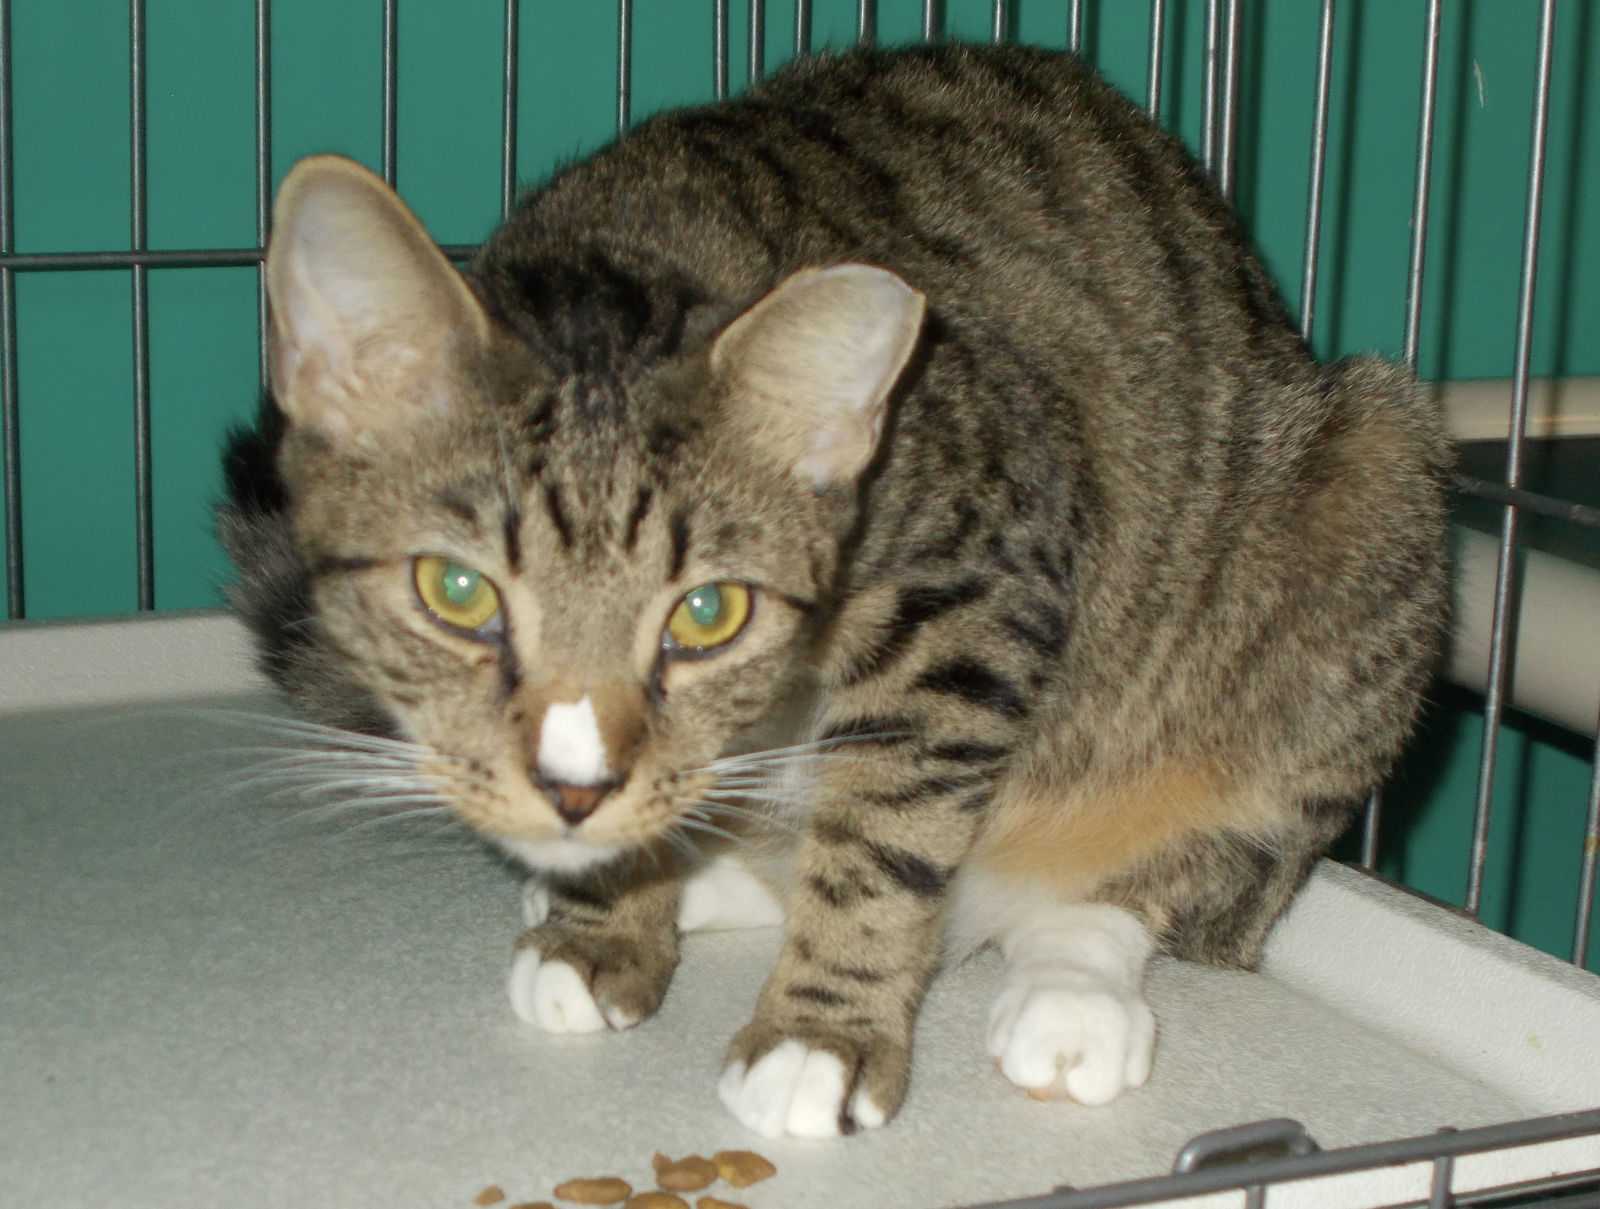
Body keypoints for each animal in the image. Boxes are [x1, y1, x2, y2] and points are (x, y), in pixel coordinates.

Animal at [219, 42, 1459, 1138]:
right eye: (457, 591)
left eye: (707, 613)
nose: (574, 790)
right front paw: (607, 923)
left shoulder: (972, 586)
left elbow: (884, 823)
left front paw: (819, 1035)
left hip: (1365, 497)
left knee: (1174, 879)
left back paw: (1071, 992)